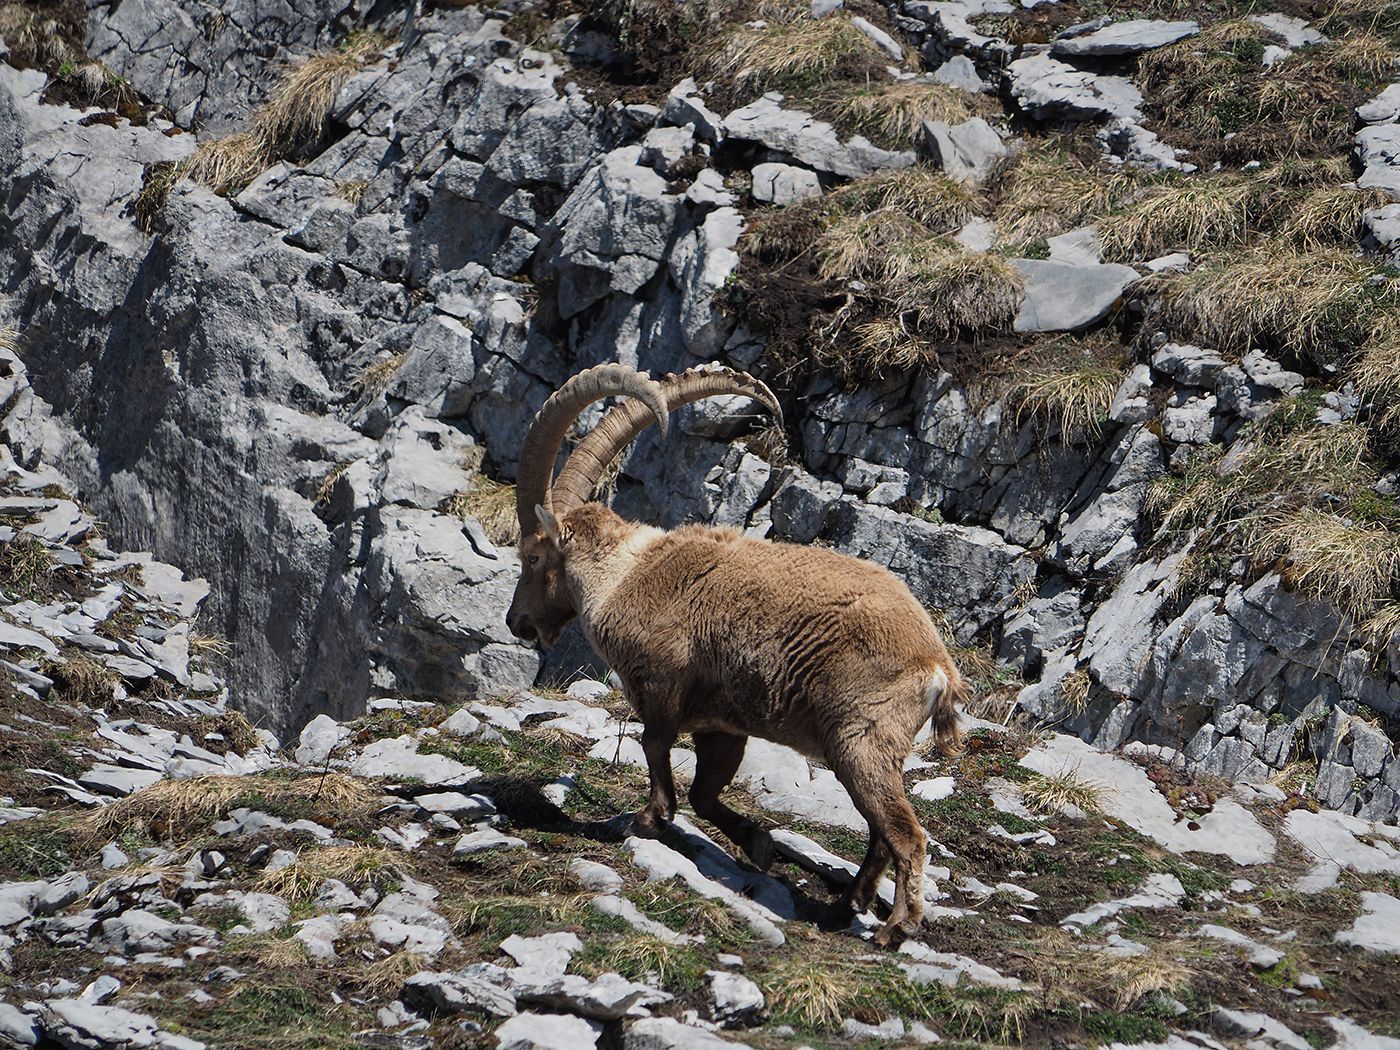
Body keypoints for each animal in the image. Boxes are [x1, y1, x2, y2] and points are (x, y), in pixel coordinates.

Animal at [506, 363, 965, 946]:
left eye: (533, 556)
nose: (516, 622)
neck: (622, 577)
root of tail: (937, 663)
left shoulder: (663, 683)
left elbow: (654, 745)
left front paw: (650, 819)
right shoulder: (721, 725)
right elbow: (705, 792)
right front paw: (759, 844)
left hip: (860, 741)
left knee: (906, 833)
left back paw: (894, 927)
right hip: (874, 750)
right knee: (881, 833)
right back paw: (847, 904)